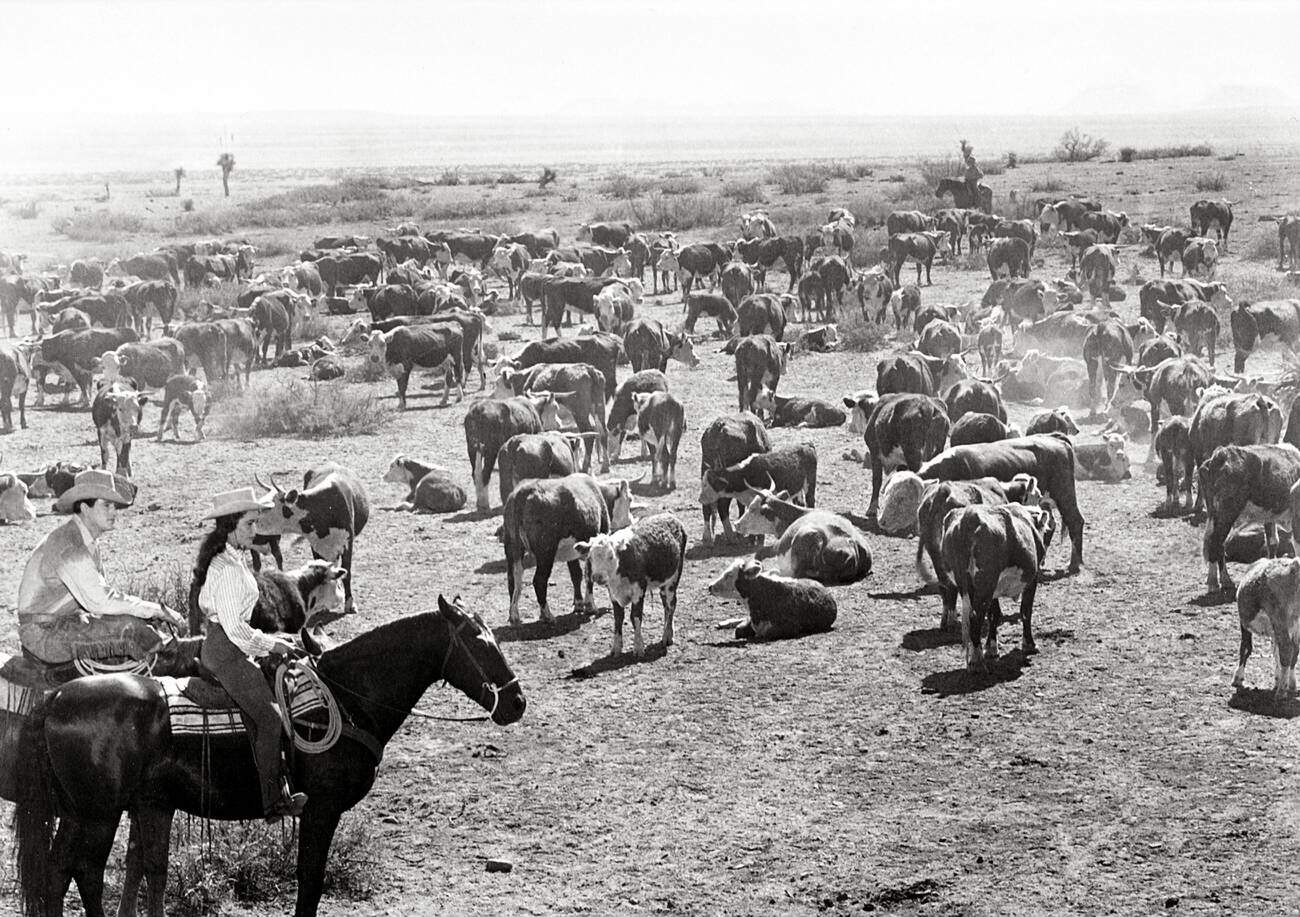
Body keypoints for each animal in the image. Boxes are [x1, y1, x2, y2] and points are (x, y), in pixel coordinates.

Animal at [12, 593, 522, 915]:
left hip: (88, 812)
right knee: (83, 872)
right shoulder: (321, 808)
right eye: (479, 642)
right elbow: (309, 882)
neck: (345, 697)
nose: (516, 703)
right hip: (98, 813)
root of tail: (56, 698)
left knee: (56, 875)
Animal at [501, 468, 634, 626]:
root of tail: (523, 492)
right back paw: (547, 615)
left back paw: (514, 615)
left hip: (511, 547)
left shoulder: (572, 551)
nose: (630, 521)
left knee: (513, 578)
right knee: (539, 580)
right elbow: (588, 574)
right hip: (546, 552)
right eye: (630, 499)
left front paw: (579, 603)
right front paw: (590, 606)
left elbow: (576, 574)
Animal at [574, 512, 686, 655]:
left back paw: (667, 635)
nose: (598, 576)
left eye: (611, 556)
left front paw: (638, 647)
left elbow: (635, 617)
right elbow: (618, 618)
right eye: (590, 557)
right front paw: (616, 647)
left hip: (674, 577)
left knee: (671, 604)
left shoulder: (639, 590)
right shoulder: (613, 594)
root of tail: (669, 515)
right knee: (665, 604)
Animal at [941, 504, 1050, 671]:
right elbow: (1026, 611)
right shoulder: (1032, 579)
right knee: (975, 617)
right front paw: (1029, 645)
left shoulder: (993, 591)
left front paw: (991, 648)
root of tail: (969, 517)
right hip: (986, 583)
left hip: (972, 585)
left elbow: (995, 614)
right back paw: (977, 662)